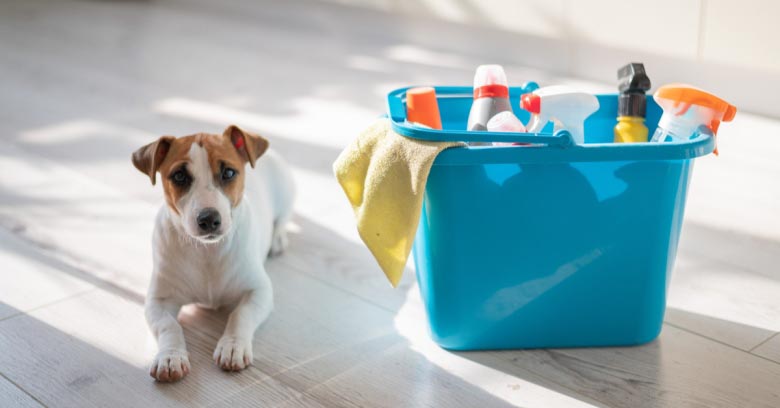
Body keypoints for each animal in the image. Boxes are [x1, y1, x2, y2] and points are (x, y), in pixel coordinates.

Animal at [133, 124, 294, 382]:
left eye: (228, 172)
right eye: (179, 176)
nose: (209, 219)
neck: (207, 252)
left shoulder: (259, 291)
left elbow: (240, 314)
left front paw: (233, 346)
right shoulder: (158, 301)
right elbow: (169, 325)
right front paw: (170, 357)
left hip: (287, 193)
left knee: (283, 218)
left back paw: (277, 239)